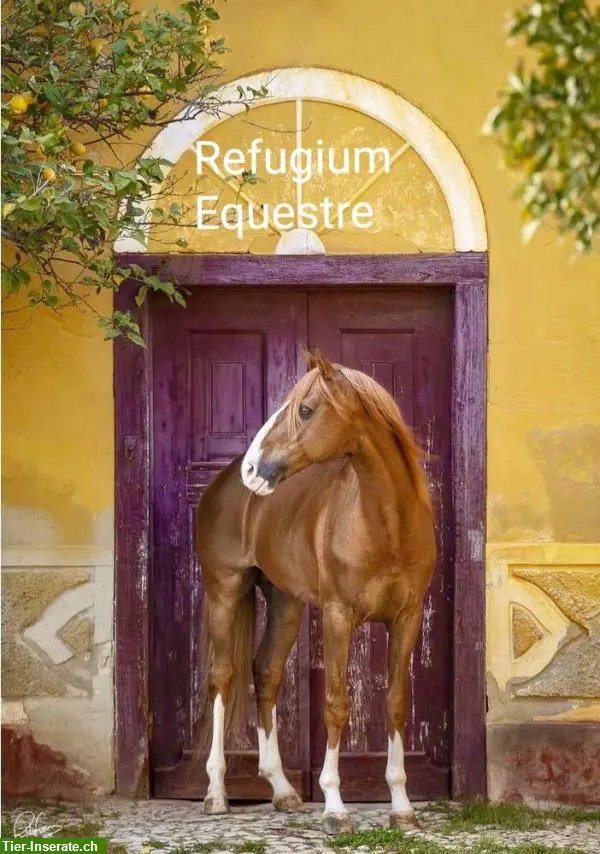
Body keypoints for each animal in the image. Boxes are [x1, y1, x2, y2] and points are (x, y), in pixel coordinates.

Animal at [195, 349, 436, 834]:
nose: (253, 470)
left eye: (305, 410)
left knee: (266, 671)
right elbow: (336, 704)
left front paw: (401, 805)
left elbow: (396, 703)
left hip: (286, 603)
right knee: (222, 678)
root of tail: (223, 484)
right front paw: (335, 806)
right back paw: (216, 794)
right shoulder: (339, 616)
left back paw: (283, 790)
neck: (387, 525)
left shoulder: (407, 618)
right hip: (224, 592)